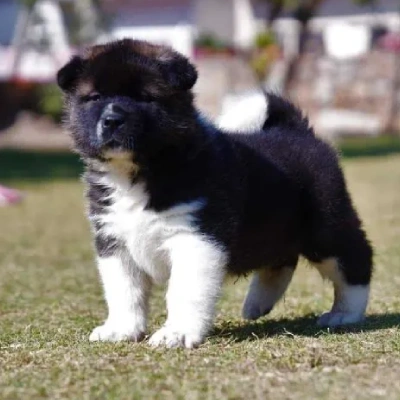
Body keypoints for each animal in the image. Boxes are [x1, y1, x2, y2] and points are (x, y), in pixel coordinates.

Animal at [57, 39, 374, 348]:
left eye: (145, 98)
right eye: (95, 97)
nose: (112, 120)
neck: (139, 172)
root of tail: (296, 131)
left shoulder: (195, 238)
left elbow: (183, 292)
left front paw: (177, 333)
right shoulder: (114, 239)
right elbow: (123, 291)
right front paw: (121, 329)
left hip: (326, 226)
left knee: (354, 259)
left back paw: (345, 313)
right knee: (282, 259)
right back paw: (257, 304)